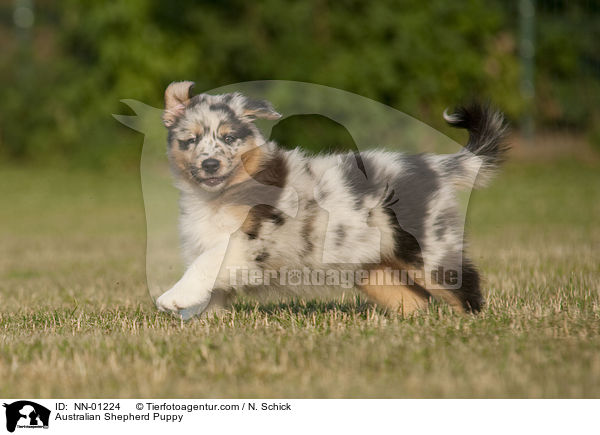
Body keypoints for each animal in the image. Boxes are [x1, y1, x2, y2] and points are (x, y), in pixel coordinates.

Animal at [155, 82, 506, 320]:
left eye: (229, 138)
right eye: (191, 140)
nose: (210, 164)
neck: (220, 194)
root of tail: (435, 166)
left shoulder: (253, 240)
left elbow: (208, 262)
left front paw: (173, 297)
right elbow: (213, 286)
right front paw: (196, 315)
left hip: (428, 249)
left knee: (464, 286)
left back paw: (468, 323)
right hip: (371, 267)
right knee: (414, 301)